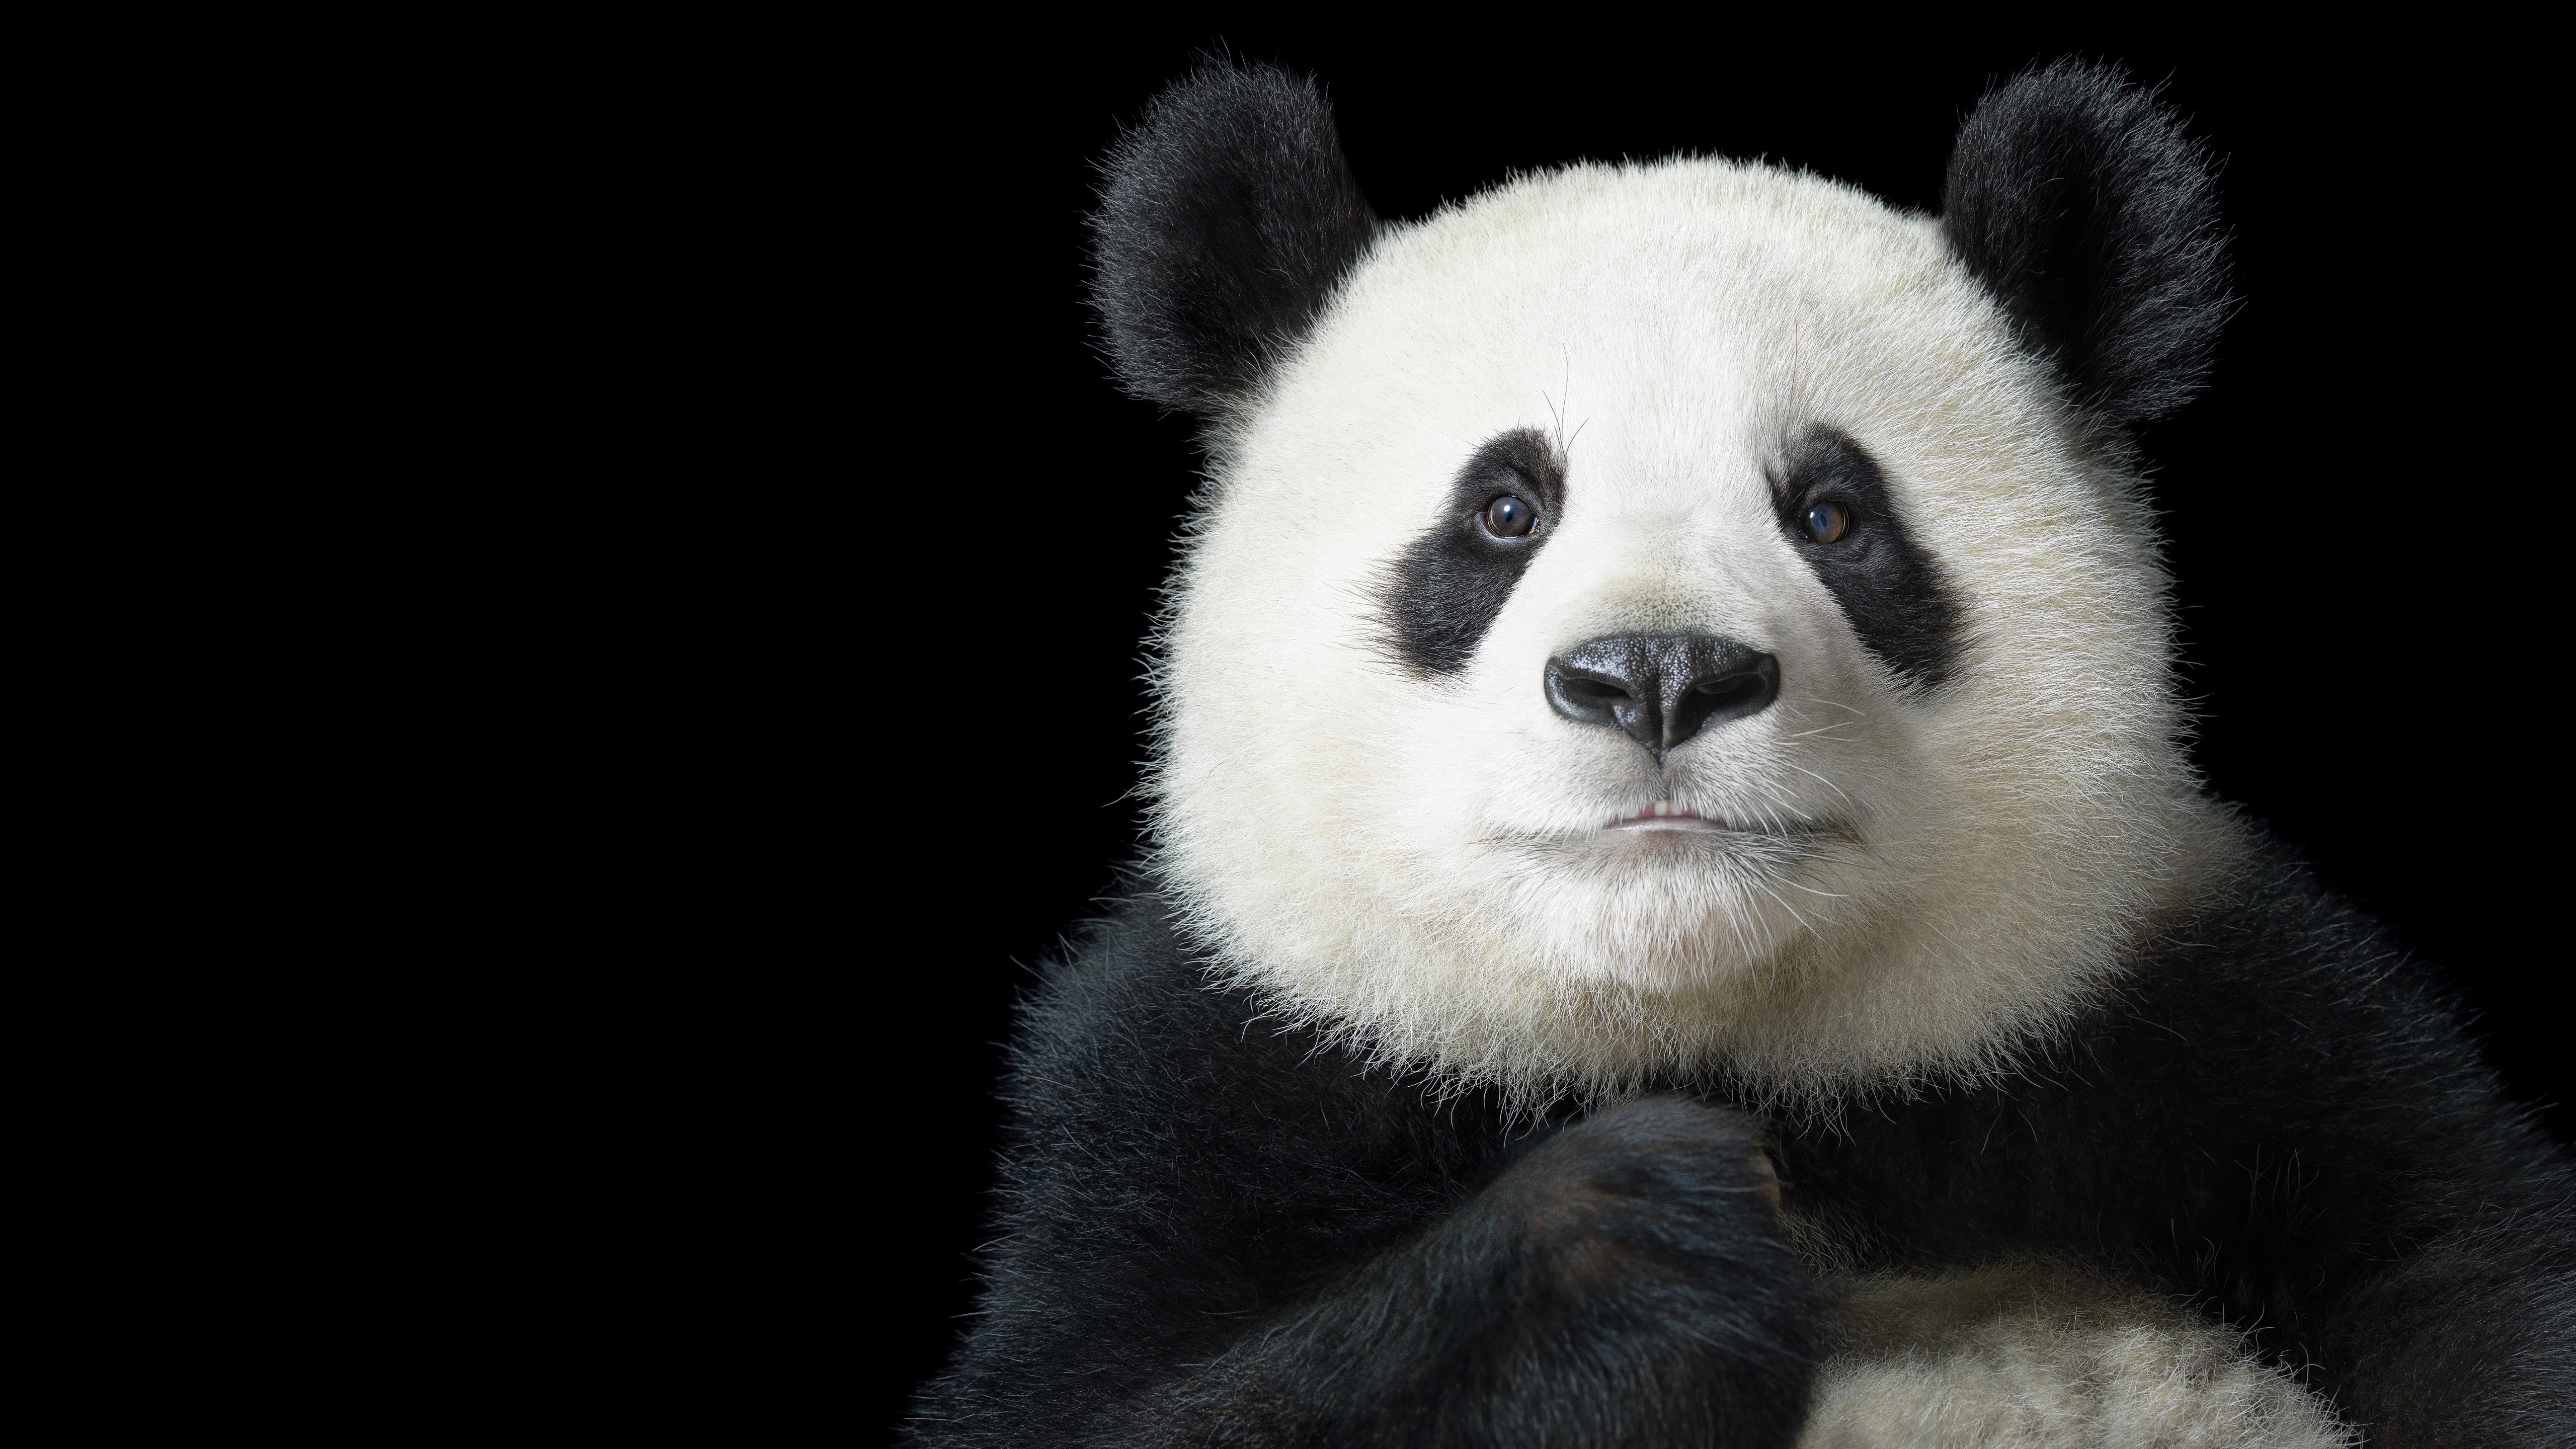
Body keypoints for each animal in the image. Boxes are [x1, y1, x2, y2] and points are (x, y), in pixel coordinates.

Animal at [907, 60, 2574, 1447]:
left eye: (1832, 516)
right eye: (1501, 513)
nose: (1658, 674)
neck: (1724, 1040)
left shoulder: (2221, 1022)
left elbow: (2471, 1273)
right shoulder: (1198, 1091)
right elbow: (1087, 1402)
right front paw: (1636, 1248)